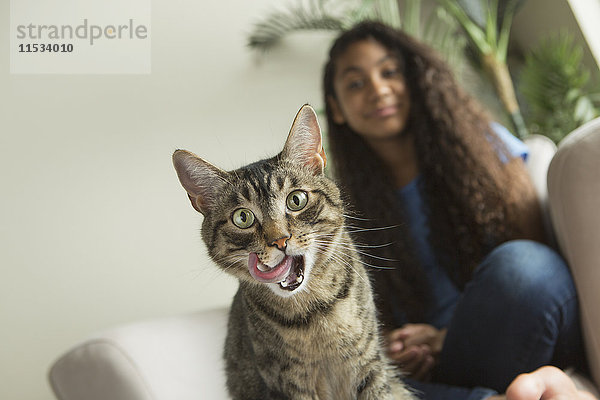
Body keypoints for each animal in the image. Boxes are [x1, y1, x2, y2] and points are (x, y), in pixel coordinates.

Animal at [171, 104, 410, 398]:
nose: (280, 240)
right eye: (242, 218)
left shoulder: (369, 364)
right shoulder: (287, 383)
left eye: (296, 200)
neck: (315, 311)